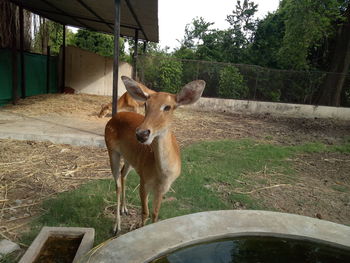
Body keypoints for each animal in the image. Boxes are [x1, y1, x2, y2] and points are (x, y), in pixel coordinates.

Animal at [105, 76, 206, 233]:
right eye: (146, 104)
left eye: (168, 107)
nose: (142, 133)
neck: (162, 173)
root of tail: (115, 116)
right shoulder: (143, 180)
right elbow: (145, 212)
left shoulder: (163, 188)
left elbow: (155, 214)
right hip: (111, 150)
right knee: (117, 184)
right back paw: (117, 226)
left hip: (130, 158)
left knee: (123, 174)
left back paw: (125, 209)